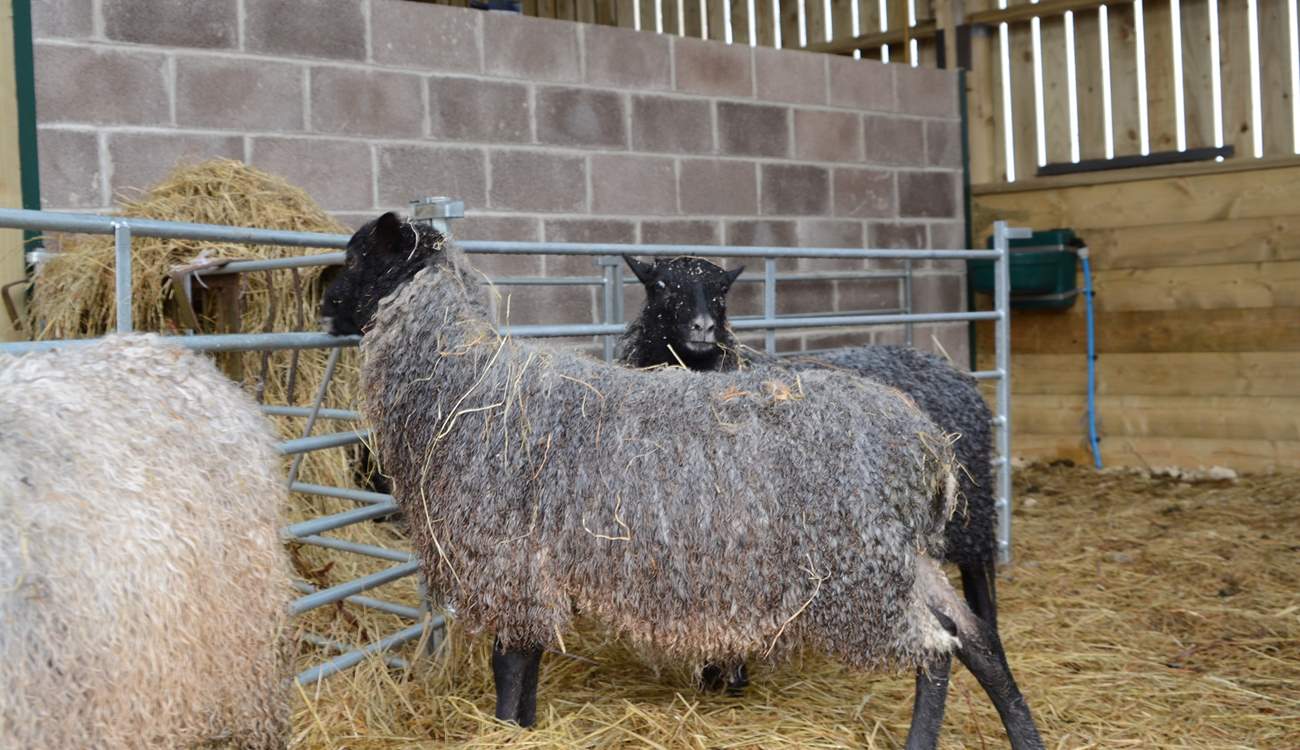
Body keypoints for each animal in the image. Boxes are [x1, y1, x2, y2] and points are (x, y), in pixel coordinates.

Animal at [327, 212, 1044, 749]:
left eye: (358, 252)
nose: (323, 299)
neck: (460, 378)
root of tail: (927, 443)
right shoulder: (531, 565)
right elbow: (527, 664)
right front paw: (524, 727)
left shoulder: (506, 560)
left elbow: (510, 664)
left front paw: (506, 729)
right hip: (897, 558)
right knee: (973, 638)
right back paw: (1026, 735)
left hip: (859, 570)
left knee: (935, 651)